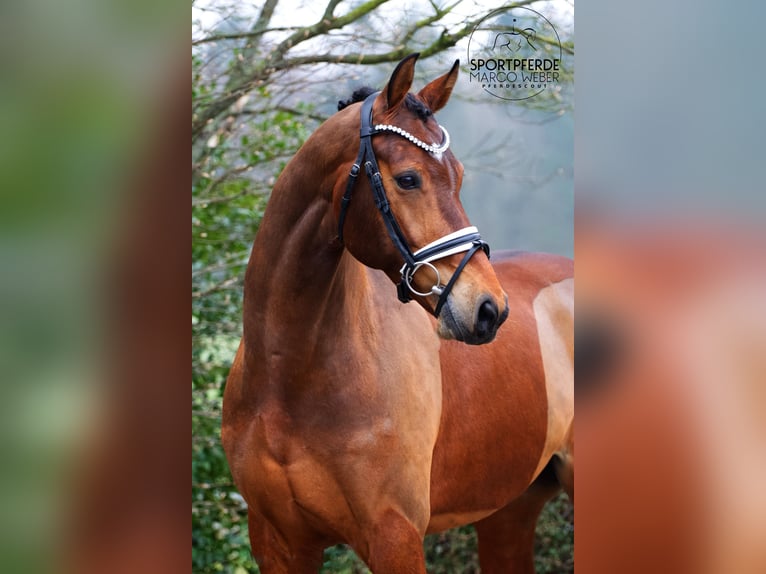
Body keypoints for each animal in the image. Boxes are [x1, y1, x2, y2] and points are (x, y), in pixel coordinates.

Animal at [222, 53, 573, 573]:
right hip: (508, 513)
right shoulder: (279, 543)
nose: (489, 309)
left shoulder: (394, 536)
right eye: (409, 178)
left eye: (460, 177)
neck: (289, 378)